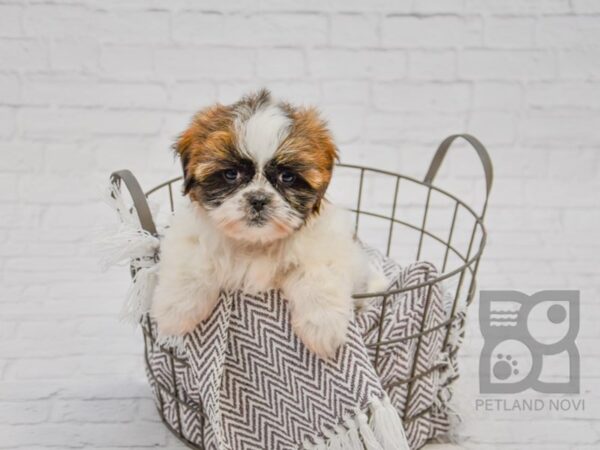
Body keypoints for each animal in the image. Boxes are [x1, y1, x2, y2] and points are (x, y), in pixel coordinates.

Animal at [152, 90, 386, 358]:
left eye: (287, 177)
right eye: (231, 174)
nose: (258, 199)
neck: (256, 243)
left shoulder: (325, 246)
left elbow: (317, 274)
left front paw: (323, 327)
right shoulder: (191, 234)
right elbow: (192, 262)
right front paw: (176, 309)